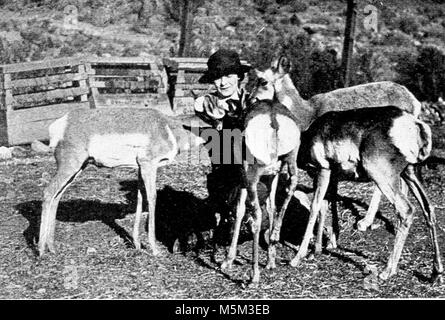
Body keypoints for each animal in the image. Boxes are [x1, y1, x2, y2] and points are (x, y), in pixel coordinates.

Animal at [38, 109, 205, 256]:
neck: (168, 127)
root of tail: (62, 122)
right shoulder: (149, 165)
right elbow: (152, 197)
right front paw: (155, 250)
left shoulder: (140, 169)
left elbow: (140, 197)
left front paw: (137, 245)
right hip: (70, 166)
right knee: (48, 192)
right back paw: (40, 250)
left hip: (78, 168)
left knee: (57, 196)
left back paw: (52, 247)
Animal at [220, 99, 300, 284]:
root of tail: (273, 118)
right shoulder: (272, 176)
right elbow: (271, 208)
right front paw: (271, 260)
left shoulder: (244, 177)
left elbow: (240, 210)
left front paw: (227, 261)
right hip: (290, 162)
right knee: (291, 185)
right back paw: (275, 236)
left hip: (253, 177)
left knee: (256, 216)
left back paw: (254, 275)